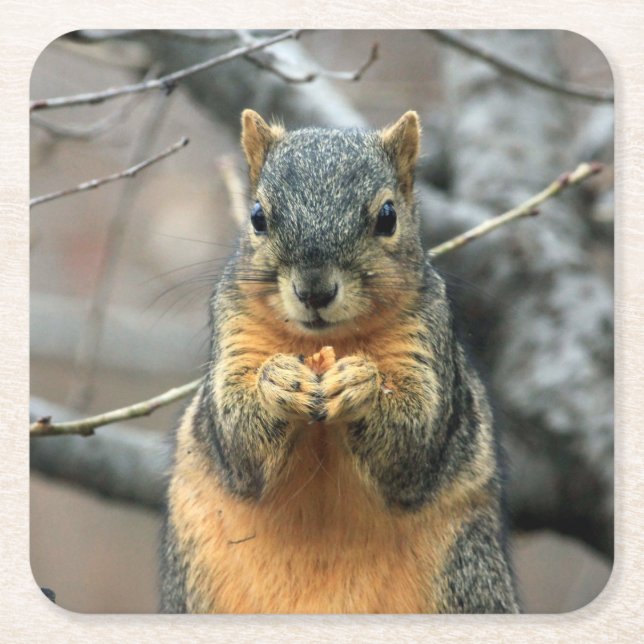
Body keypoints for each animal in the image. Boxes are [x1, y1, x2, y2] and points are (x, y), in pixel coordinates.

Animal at [160, 109, 520, 614]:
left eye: (388, 217)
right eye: (257, 217)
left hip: (467, 574)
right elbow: (236, 437)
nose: (314, 290)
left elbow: (415, 439)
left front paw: (361, 386)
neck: (324, 342)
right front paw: (278, 383)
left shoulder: (426, 338)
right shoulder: (234, 330)